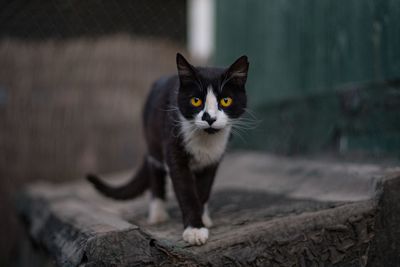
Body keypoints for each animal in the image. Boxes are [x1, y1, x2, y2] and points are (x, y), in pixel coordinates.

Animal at [87, 52, 248, 247]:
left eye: (226, 100)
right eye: (196, 100)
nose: (209, 118)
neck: (205, 140)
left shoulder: (213, 159)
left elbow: (203, 189)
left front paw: (202, 220)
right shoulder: (173, 149)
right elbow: (186, 190)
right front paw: (194, 230)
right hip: (153, 141)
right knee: (155, 171)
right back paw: (158, 215)